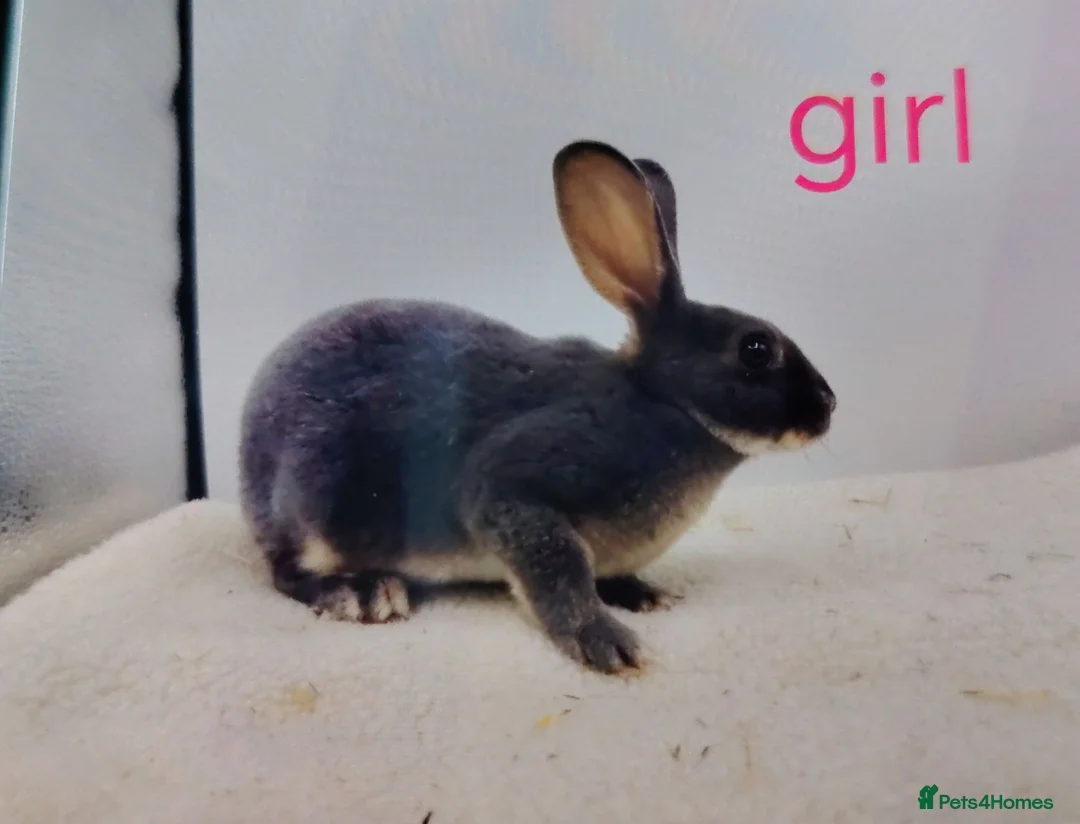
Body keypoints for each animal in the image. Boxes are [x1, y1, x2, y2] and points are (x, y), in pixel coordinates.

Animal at [238, 139, 836, 675]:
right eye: (755, 350)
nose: (828, 406)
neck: (663, 405)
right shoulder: (516, 485)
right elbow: (556, 571)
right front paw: (606, 643)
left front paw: (644, 595)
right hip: (315, 501)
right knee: (286, 573)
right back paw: (364, 594)